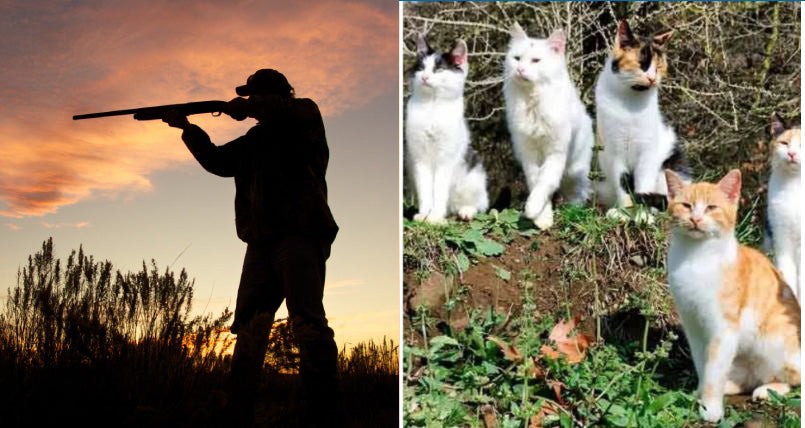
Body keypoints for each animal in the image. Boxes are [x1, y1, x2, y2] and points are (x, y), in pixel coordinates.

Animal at [406, 33, 486, 224]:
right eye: (421, 68)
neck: (432, 107)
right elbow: (425, 191)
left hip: (474, 177)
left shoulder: (445, 160)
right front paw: (424, 214)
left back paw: (465, 211)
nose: (425, 77)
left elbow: (439, 190)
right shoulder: (420, 159)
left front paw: (434, 217)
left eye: (439, 70)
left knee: (479, 204)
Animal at [592, 19, 684, 217]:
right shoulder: (614, 151)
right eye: (642, 63)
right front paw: (624, 212)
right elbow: (622, 184)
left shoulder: (647, 151)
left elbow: (643, 185)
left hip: (669, 165)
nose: (652, 78)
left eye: (659, 67)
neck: (631, 104)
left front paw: (643, 215)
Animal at [664, 169, 800, 422]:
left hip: (772, 340)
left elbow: (713, 371)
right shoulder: (693, 326)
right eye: (686, 205)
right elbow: (704, 366)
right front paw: (701, 394)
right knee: (747, 378)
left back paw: (768, 390)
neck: (696, 257)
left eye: (711, 207)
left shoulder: (723, 329)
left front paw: (710, 409)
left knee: (791, 377)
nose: (696, 219)